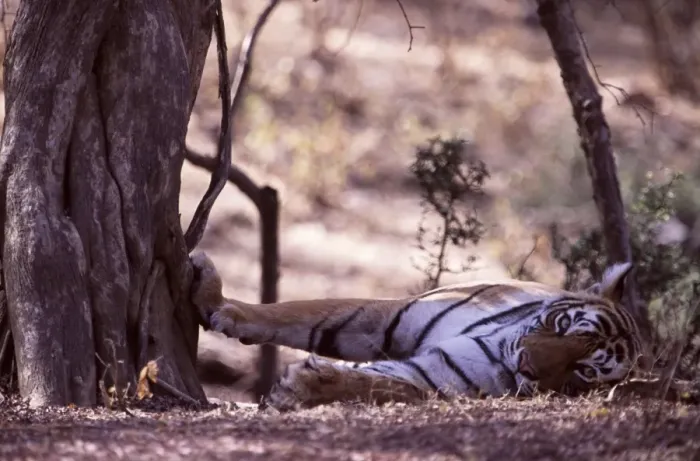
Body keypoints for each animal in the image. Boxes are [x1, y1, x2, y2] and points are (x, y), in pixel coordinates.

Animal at [189, 251, 646, 412]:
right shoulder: (391, 314)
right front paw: (215, 300)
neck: (497, 342)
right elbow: (294, 314)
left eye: (584, 372)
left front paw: (304, 386)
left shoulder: (435, 376)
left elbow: (381, 384)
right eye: (564, 325)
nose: (528, 364)